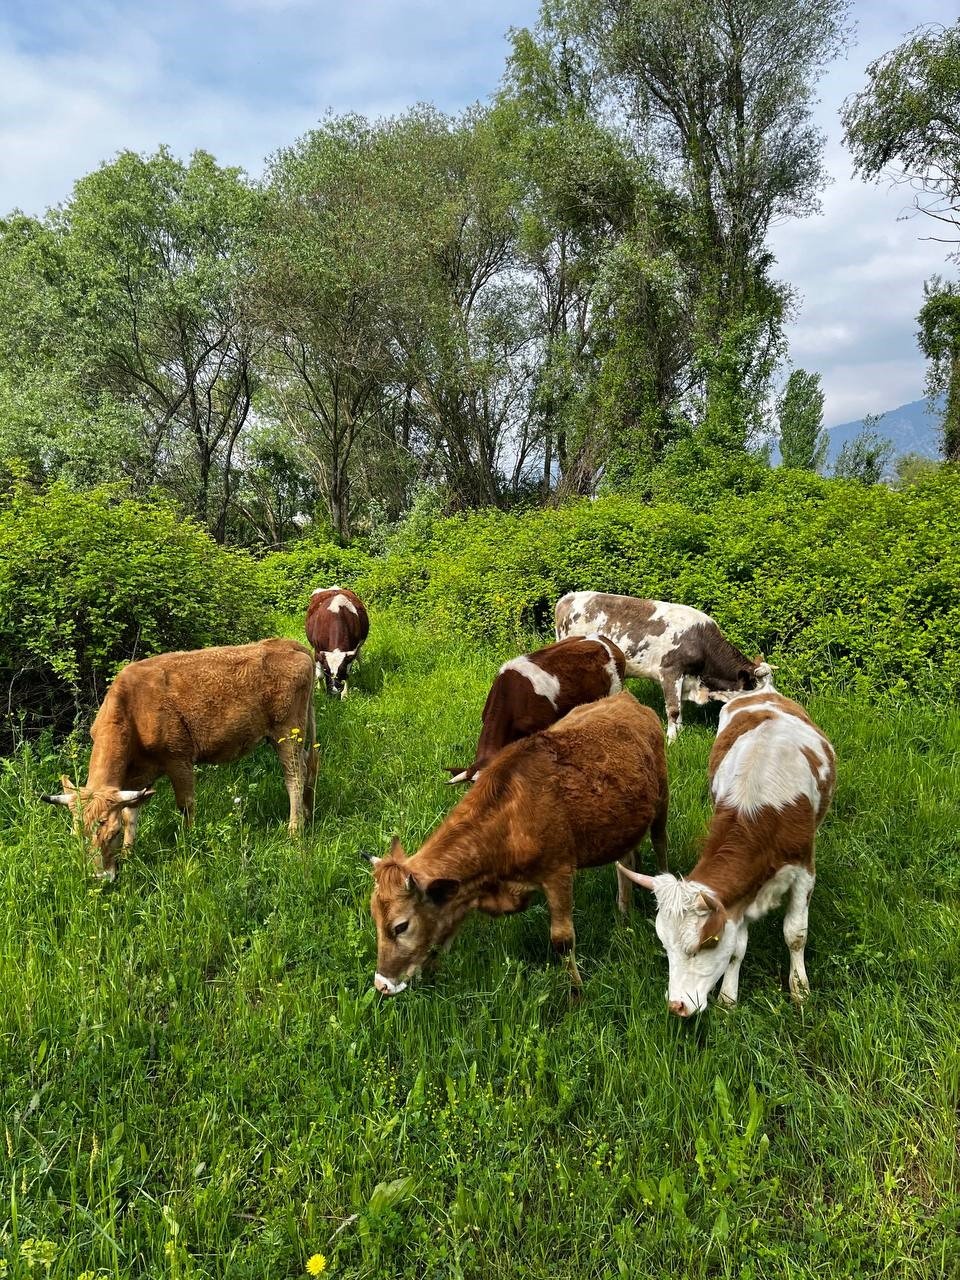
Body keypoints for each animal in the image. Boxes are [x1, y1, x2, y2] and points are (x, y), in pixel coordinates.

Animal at [555, 588, 773, 742]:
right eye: (757, 689)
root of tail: (569, 598)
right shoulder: (670, 671)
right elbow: (673, 708)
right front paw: (672, 740)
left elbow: (679, 708)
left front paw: (680, 731)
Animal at [624, 691, 834, 1018]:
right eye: (665, 946)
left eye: (705, 944)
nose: (676, 1005)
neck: (761, 808)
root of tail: (762, 692)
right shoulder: (740, 895)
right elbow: (737, 947)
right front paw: (728, 997)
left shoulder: (803, 870)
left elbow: (795, 933)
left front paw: (800, 990)